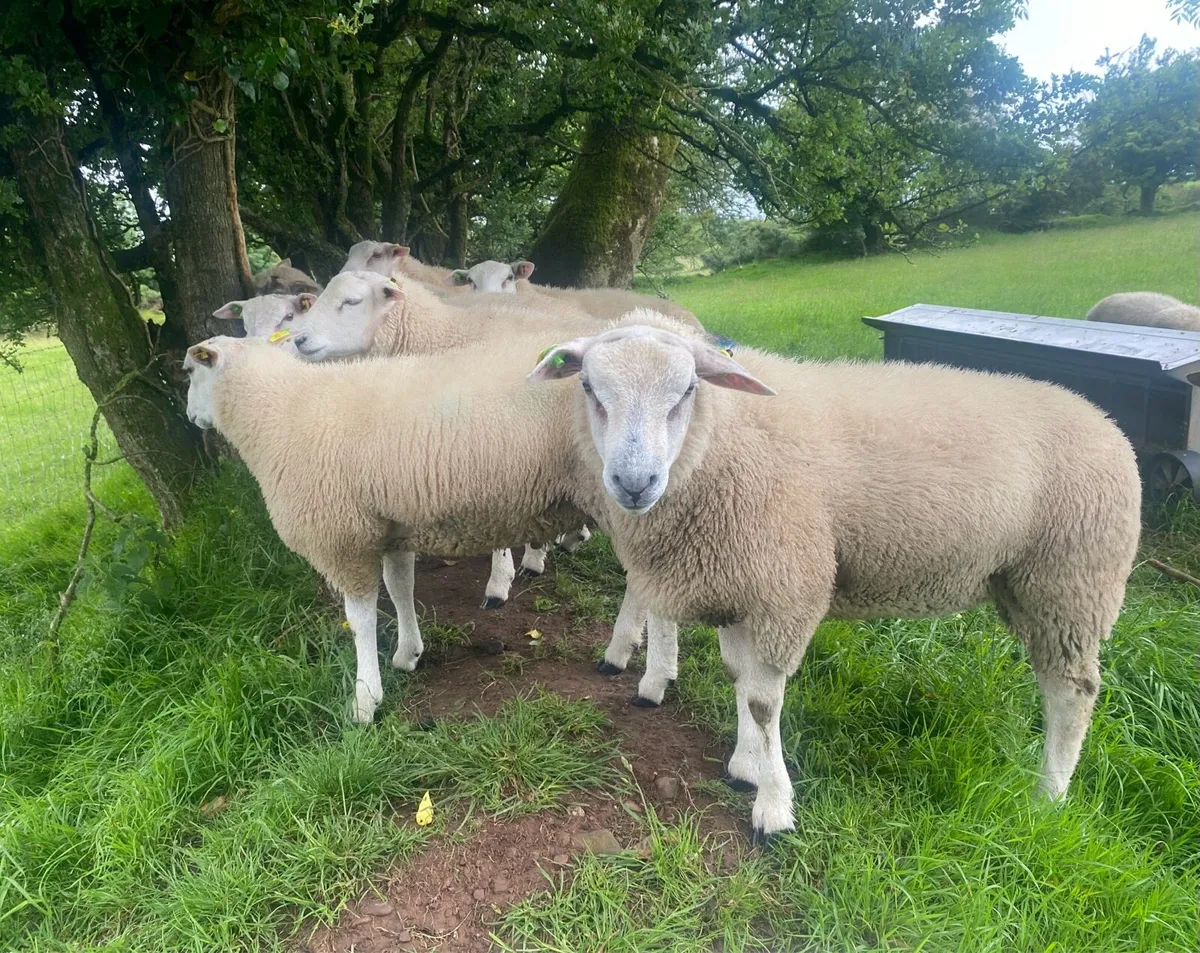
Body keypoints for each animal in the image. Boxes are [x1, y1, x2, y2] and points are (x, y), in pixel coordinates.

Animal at [181, 328, 671, 723]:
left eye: (188, 371)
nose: (188, 417)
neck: (278, 411)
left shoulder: (343, 539)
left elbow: (360, 622)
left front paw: (365, 700)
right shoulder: (392, 529)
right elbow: (402, 590)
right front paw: (408, 654)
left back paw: (641, 670)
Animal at [528, 314, 1142, 844]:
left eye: (686, 391)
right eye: (589, 388)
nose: (634, 483)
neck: (723, 443)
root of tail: (1106, 421)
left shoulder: (786, 585)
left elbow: (762, 701)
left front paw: (773, 809)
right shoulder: (740, 582)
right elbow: (738, 676)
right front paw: (746, 765)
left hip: (1071, 580)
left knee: (1072, 692)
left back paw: (1049, 796)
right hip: (1020, 582)